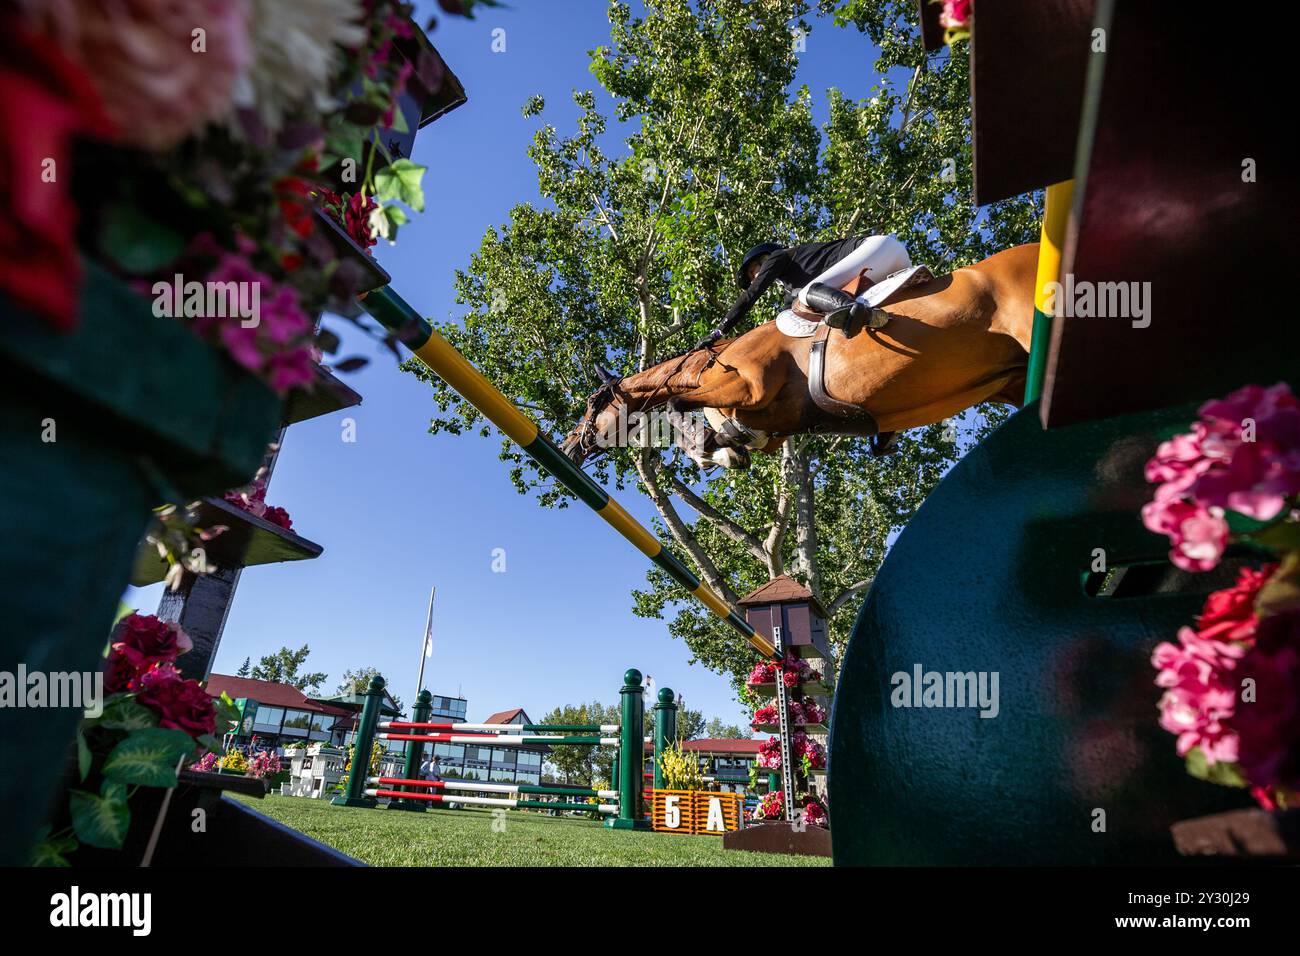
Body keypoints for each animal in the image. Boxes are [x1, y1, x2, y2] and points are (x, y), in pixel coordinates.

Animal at [559, 240, 1034, 468]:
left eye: (591, 405)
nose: (567, 447)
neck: (715, 360)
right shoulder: (770, 427)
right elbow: (731, 436)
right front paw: (719, 450)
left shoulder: (746, 385)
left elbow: (676, 403)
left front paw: (710, 449)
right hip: (1013, 380)